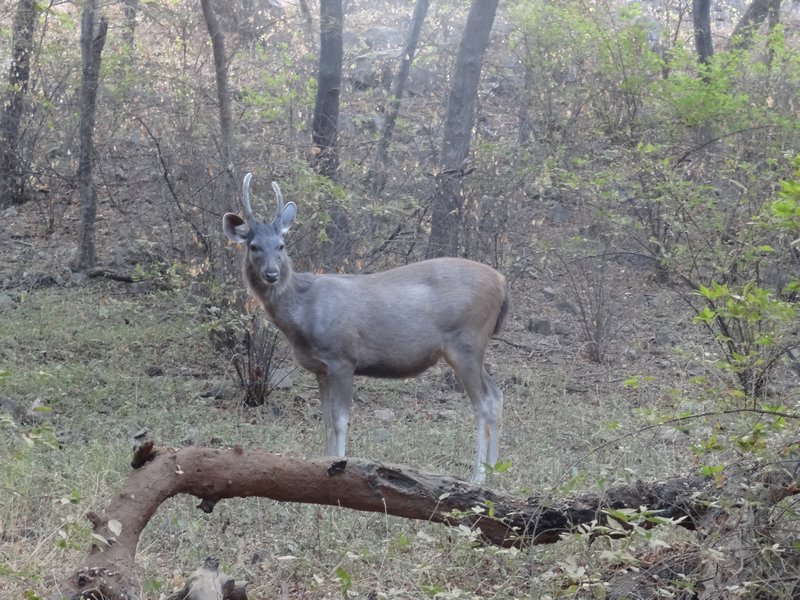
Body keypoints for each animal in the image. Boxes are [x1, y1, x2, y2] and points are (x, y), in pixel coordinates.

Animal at [222, 173, 510, 482]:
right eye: (253, 246)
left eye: (281, 245)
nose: (272, 274)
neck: (304, 312)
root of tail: (502, 282)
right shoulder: (320, 368)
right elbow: (326, 419)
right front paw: (322, 465)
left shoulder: (343, 357)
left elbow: (340, 420)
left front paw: (339, 466)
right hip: (473, 347)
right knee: (496, 395)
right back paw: (494, 471)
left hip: (466, 341)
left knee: (483, 404)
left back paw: (478, 477)